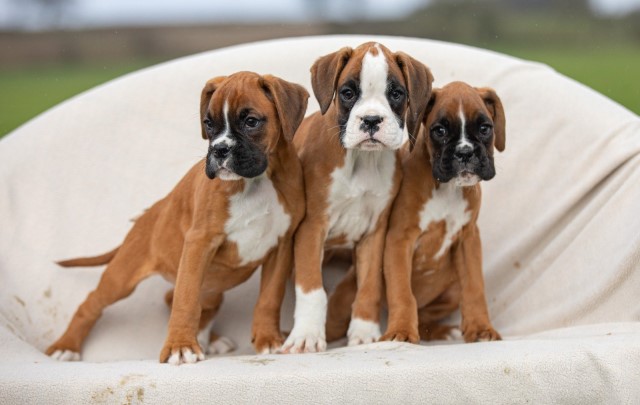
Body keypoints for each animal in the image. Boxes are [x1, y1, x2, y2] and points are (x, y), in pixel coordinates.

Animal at [45, 71, 308, 364]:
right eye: (208, 123)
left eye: (251, 121)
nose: (219, 150)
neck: (257, 181)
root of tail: (147, 215)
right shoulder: (199, 243)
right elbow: (186, 299)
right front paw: (180, 346)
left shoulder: (281, 246)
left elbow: (269, 298)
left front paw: (267, 339)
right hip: (121, 278)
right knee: (93, 303)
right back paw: (66, 346)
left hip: (213, 286)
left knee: (180, 299)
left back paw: (209, 339)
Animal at [282, 40, 436, 350]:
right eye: (348, 93)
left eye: (396, 93)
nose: (372, 120)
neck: (361, 160)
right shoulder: (312, 228)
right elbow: (311, 288)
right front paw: (307, 335)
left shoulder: (374, 233)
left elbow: (369, 285)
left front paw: (364, 331)